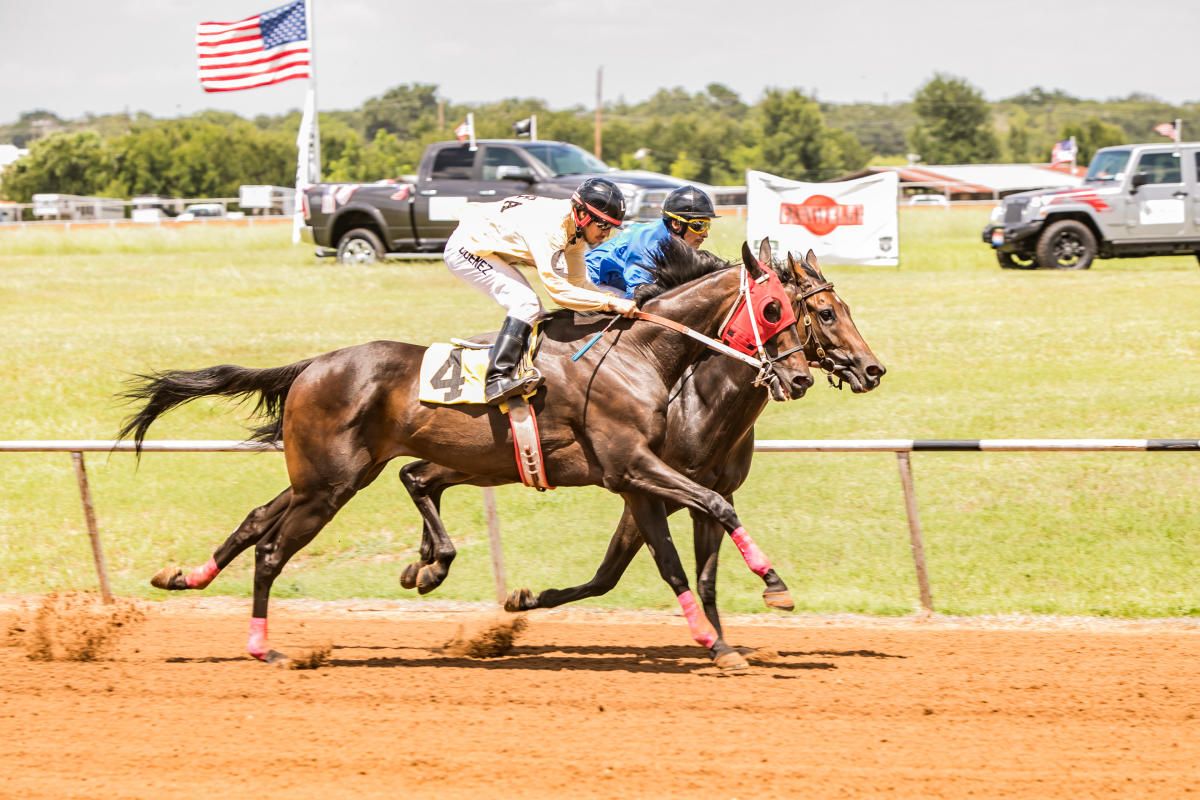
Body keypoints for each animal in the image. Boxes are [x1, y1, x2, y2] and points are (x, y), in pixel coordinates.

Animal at [119, 238, 815, 668]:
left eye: (812, 310)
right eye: (776, 308)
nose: (801, 376)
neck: (641, 355)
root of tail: (312, 366)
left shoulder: (639, 479)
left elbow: (682, 549)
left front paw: (726, 636)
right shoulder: (634, 469)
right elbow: (701, 528)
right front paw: (767, 592)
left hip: (329, 475)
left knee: (262, 520)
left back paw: (186, 577)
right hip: (329, 485)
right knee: (271, 549)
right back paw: (265, 646)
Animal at [396, 247, 885, 657]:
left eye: (843, 309)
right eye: (823, 313)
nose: (872, 369)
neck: (697, 400)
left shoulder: (708, 495)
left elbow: (704, 576)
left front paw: (725, 644)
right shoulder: (640, 487)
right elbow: (620, 573)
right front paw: (523, 600)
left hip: (483, 461)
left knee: (421, 476)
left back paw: (424, 564)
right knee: (419, 476)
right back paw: (431, 563)